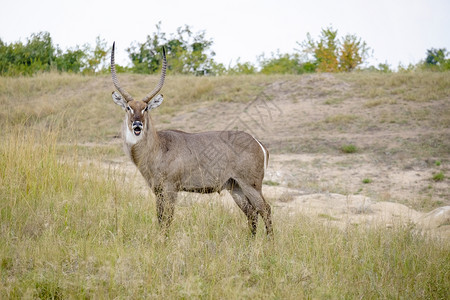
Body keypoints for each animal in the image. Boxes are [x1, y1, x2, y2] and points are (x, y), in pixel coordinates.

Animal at [110, 42, 272, 236]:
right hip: (236, 187)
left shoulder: (171, 188)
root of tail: (258, 143)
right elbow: (160, 219)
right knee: (252, 213)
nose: (137, 125)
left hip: (251, 184)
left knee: (265, 209)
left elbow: (167, 219)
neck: (157, 147)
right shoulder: (157, 191)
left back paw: (269, 242)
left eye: (146, 108)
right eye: (128, 107)